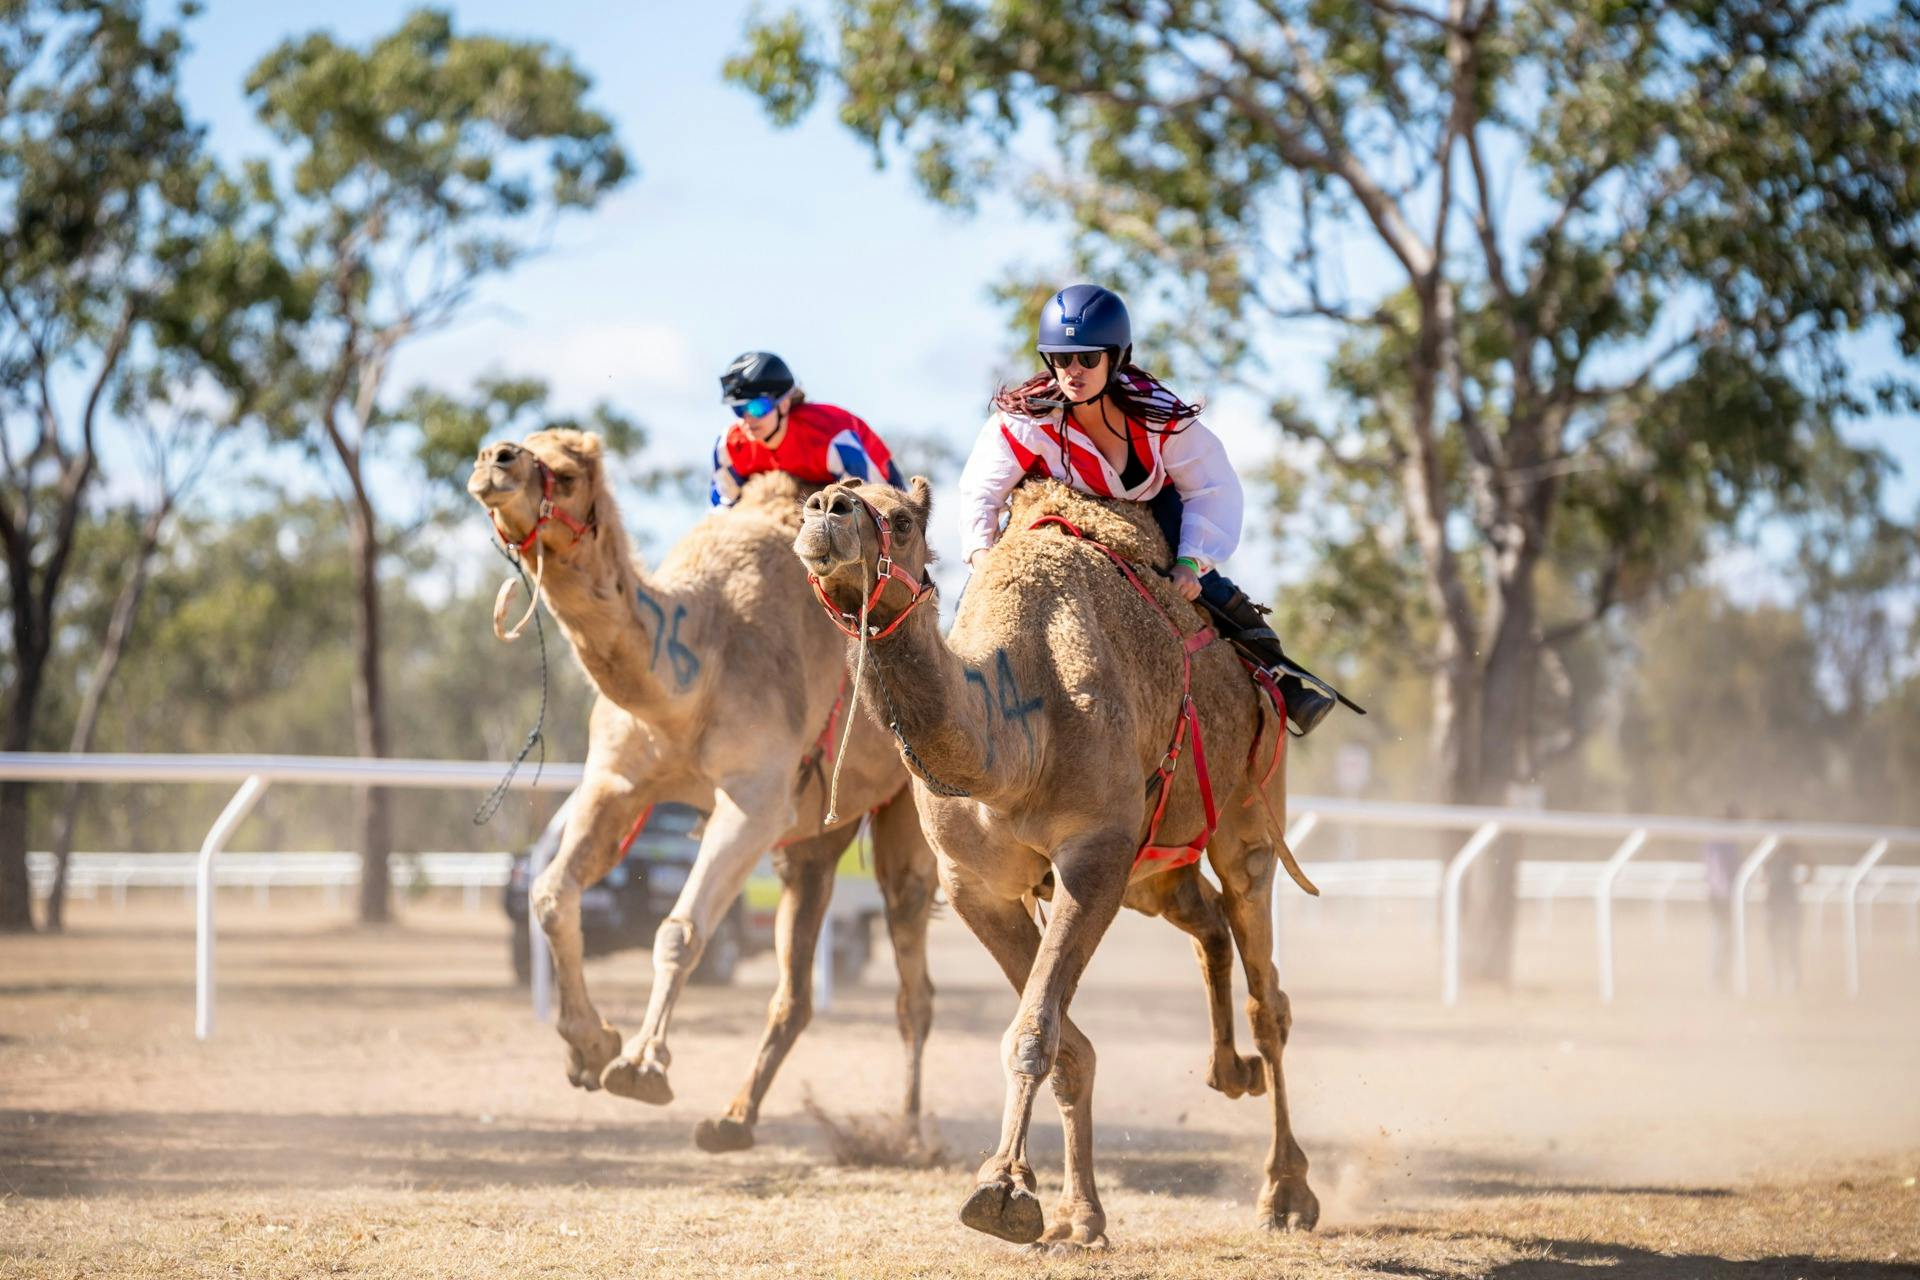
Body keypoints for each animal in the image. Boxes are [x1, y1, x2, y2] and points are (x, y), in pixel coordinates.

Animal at [467, 431, 937, 1154]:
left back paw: (910, 1136)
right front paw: (590, 1048)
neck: (702, 659)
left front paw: (640, 1067)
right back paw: (733, 1120)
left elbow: (680, 931)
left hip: (907, 808)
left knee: (913, 968)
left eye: (568, 473)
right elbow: (549, 895)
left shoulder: (753, 800)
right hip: (815, 840)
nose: (497, 459)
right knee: (797, 978)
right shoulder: (617, 781)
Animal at [795, 475, 1319, 1249]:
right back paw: (1229, 1073)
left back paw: (1285, 1192)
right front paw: (1075, 1214)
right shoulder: (975, 885)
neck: (1014, 741)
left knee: (1267, 992)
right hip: (1156, 869)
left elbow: (1036, 1030)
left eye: (901, 518)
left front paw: (1002, 1191)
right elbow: (1067, 1044)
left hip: (1247, 817)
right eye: (824, 498)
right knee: (1207, 924)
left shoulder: (1095, 851)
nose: (826, 507)